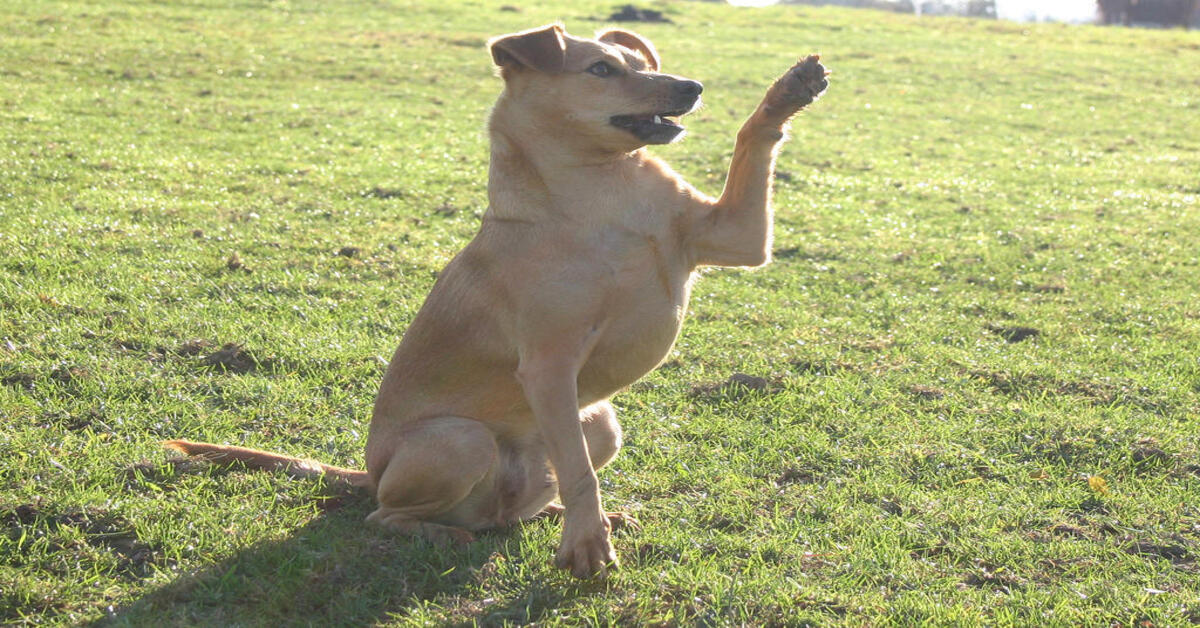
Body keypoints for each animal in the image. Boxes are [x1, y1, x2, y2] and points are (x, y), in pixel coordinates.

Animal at [166, 24, 825, 581]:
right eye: (601, 69)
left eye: (644, 65)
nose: (692, 87)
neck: (603, 188)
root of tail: (368, 474)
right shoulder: (550, 365)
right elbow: (579, 475)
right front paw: (587, 544)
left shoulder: (739, 237)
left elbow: (752, 138)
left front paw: (788, 91)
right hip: (461, 440)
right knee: (389, 516)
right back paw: (447, 533)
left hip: (600, 420)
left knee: (522, 505)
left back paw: (553, 516)